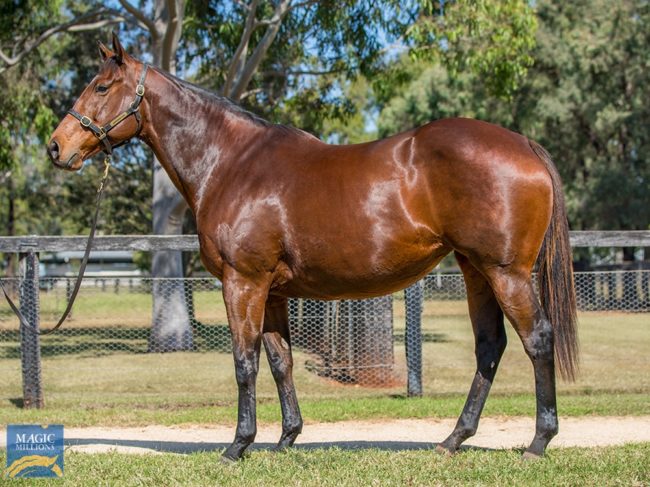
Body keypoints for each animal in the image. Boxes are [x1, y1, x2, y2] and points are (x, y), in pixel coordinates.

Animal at [47, 33, 578, 462]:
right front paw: (286, 439)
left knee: (537, 340)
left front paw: (238, 445)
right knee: (490, 347)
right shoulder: (274, 291)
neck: (231, 163)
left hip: (506, 272)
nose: (56, 147)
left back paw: (538, 442)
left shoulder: (243, 283)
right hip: (475, 271)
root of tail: (525, 145)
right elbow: (280, 361)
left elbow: (244, 362)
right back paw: (452, 440)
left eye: (100, 87)